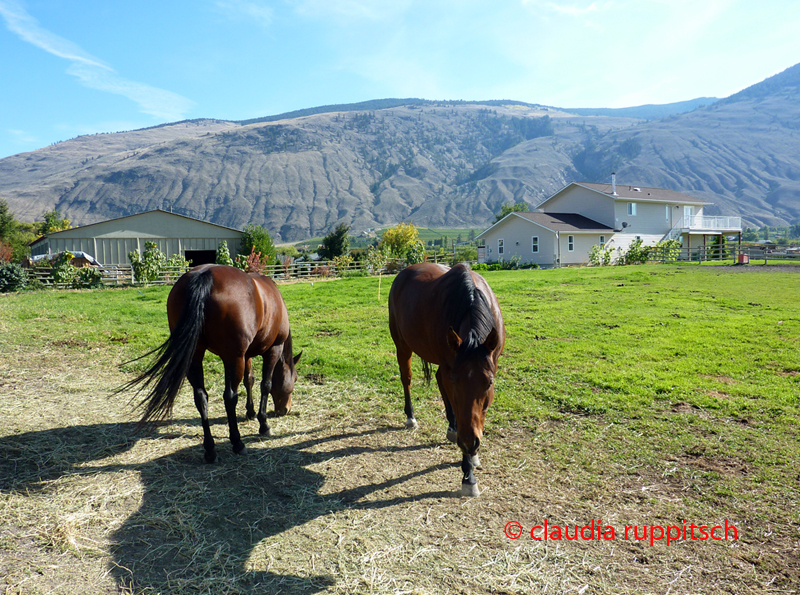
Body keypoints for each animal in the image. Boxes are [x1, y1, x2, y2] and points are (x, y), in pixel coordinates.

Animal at [122, 266, 300, 466]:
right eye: (294, 379)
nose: (285, 410)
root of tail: (204, 275)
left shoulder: (246, 355)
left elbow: (250, 380)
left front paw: (250, 412)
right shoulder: (273, 349)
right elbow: (265, 385)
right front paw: (263, 423)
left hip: (196, 355)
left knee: (201, 397)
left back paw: (210, 449)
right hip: (232, 357)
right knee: (230, 397)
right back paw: (237, 443)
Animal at [390, 264, 506, 496]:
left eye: (489, 383)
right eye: (455, 382)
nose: (469, 443)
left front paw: (472, 455)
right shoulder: (448, 369)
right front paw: (469, 476)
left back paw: (452, 428)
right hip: (402, 345)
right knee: (406, 379)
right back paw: (411, 417)